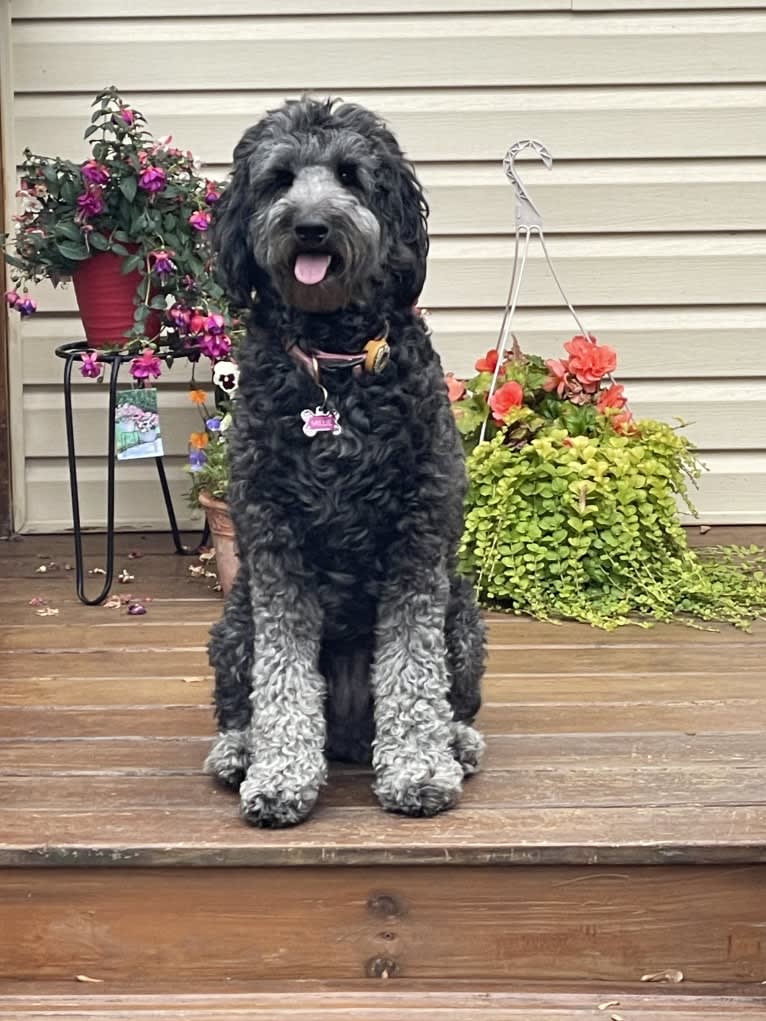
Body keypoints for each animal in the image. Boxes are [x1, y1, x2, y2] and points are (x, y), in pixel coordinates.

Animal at [205, 97, 486, 829]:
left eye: (351, 176)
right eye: (279, 178)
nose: (311, 225)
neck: (333, 362)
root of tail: (353, 738)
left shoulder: (418, 543)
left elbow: (414, 674)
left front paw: (420, 771)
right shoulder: (276, 548)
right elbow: (282, 679)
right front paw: (279, 778)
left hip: (464, 616)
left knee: (453, 698)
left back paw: (457, 742)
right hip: (234, 621)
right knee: (241, 702)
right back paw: (238, 750)